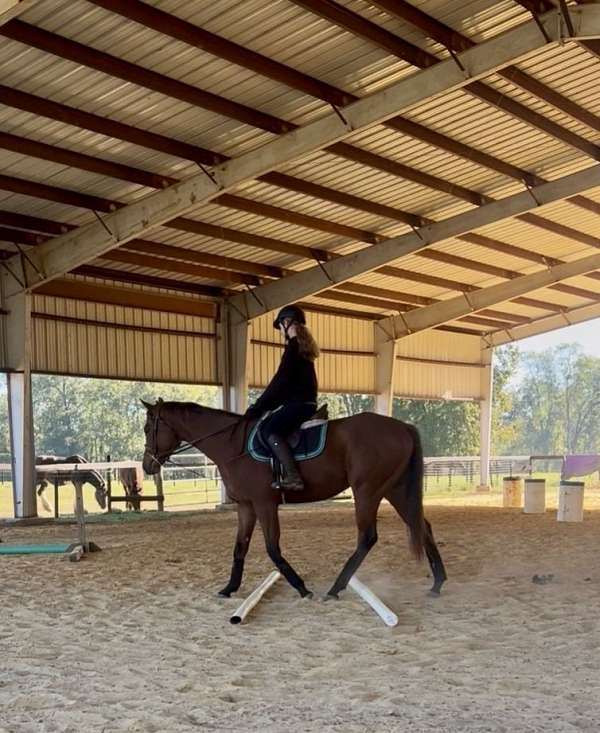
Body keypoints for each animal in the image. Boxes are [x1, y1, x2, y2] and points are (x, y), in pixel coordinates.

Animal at [141, 399, 447, 601]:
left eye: (147, 428)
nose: (147, 466)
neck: (233, 445)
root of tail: (402, 427)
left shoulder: (265, 504)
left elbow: (272, 548)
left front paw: (301, 587)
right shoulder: (246, 506)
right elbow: (240, 548)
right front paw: (229, 589)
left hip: (367, 491)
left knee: (367, 537)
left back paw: (335, 588)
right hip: (394, 490)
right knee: (423, 526)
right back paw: (437, 583)